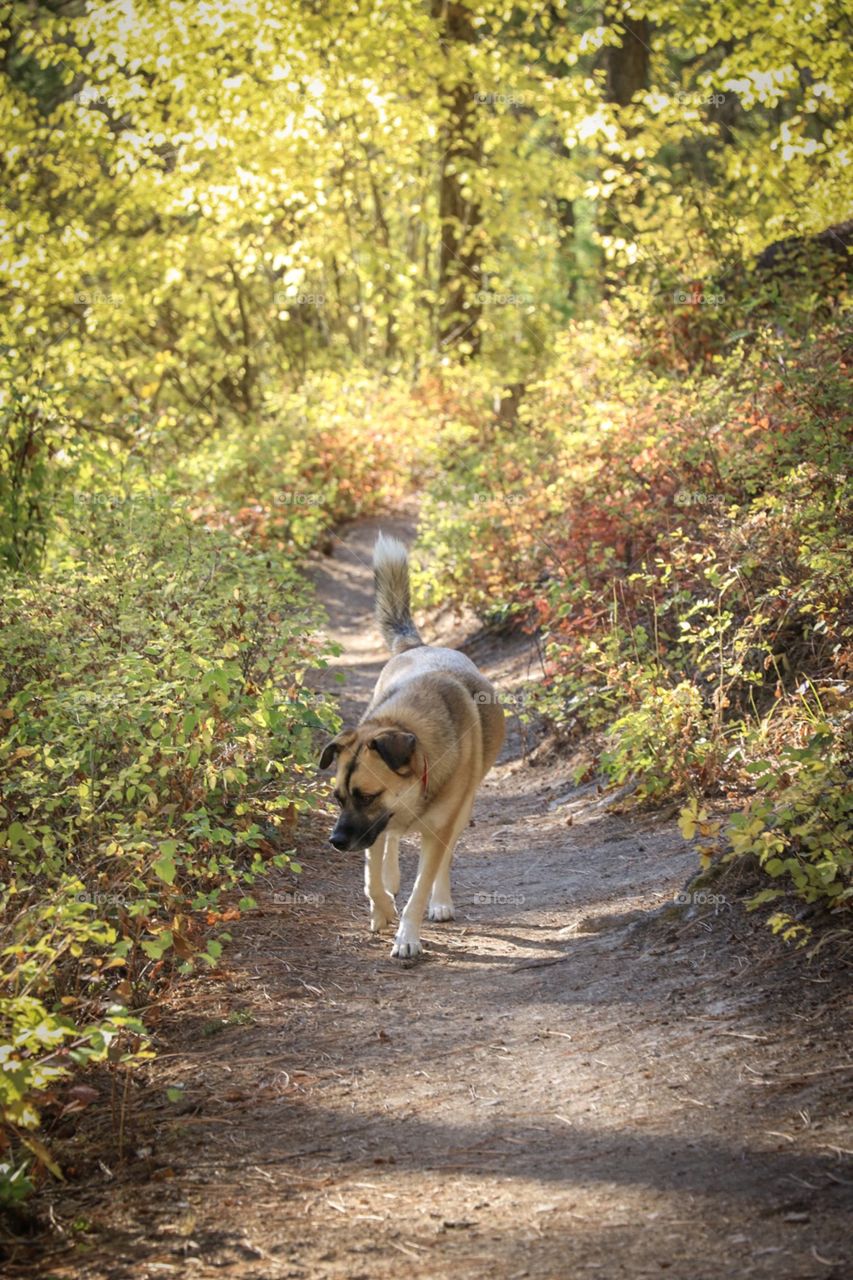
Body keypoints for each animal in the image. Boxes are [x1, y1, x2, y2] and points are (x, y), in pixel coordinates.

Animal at [318, 532, 504, 962]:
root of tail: (416, 645)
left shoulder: (431, 827)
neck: (402, 727)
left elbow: (421, 888)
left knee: (441, 859)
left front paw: (408, 935)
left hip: (461, 810)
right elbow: (370, 873)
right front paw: (381, 908)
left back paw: (441, 900)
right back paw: (391, 877)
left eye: (367, 796)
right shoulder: (369, 829)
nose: (335, 842)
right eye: (337, 798)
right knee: (388, 842)